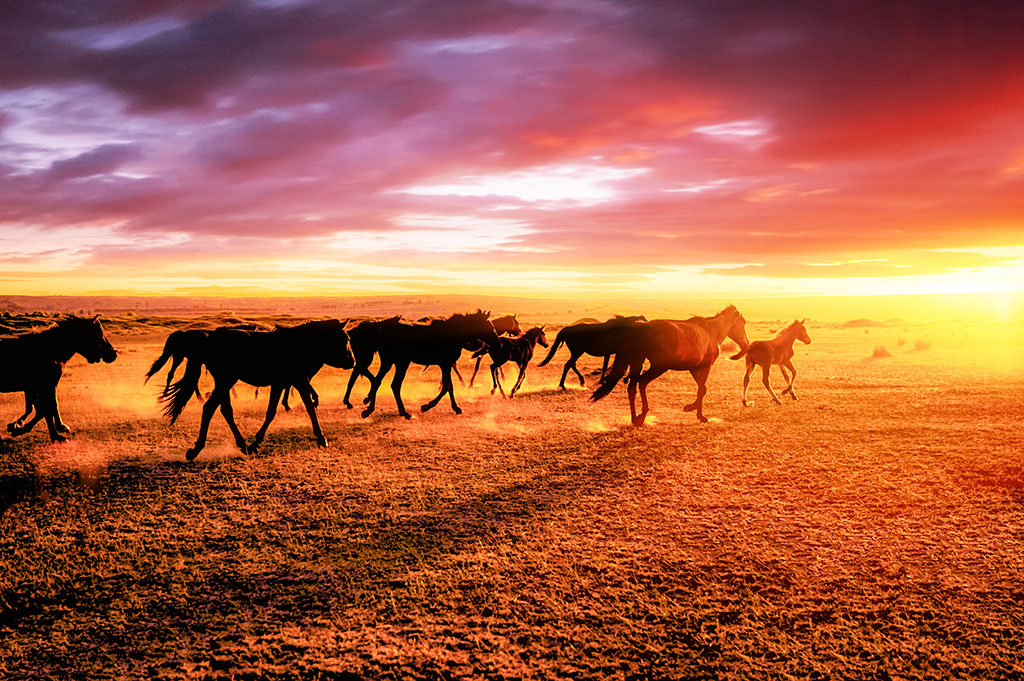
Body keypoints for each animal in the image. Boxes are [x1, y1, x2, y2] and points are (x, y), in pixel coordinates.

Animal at [2, 315, 117, 444]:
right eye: (98, 334)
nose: (113, 355)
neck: (50, 352)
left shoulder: (40, 386)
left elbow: (43, 408)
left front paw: (17, 426)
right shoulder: (44, 386)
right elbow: (46, 409)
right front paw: (56, 434)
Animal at [158, 319, 352, 458]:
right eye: (344, 340)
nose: (353, 361)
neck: (297, 346)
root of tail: (210, 340)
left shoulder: (283, 383)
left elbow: (274, 412)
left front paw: (255, 442)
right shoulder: (299, 381)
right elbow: (308, 408)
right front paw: (321, 438)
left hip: (224, 382)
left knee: (224, 410)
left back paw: (242, 444)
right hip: (226, 381)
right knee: (209, 408)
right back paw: (197, 449)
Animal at [362, 311, 501, 417]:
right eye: (489, 327)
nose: (499, 344)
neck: (454, 334)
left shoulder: (446, 365)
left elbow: (448, 386)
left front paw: (453, 407)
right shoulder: (445, 364)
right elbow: (447, 387)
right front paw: (427, 406)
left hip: (391, 362)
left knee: (379, 382)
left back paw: (370, 409)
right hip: (399, 363)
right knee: (392, 384)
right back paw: (402, 412)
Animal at [589, 307, 749, 426]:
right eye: (742, 323)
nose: (746, 344)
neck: (711, 331)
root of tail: (641, 328)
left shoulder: (694, 369)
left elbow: (701, 389)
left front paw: (696, 412)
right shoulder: (704, 367)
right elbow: (703, 389)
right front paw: (695, 412)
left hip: (638, 363)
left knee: (632, 388)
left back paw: (635, 419)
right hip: (658, 367)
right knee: (642, 382)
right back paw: (642, 416)